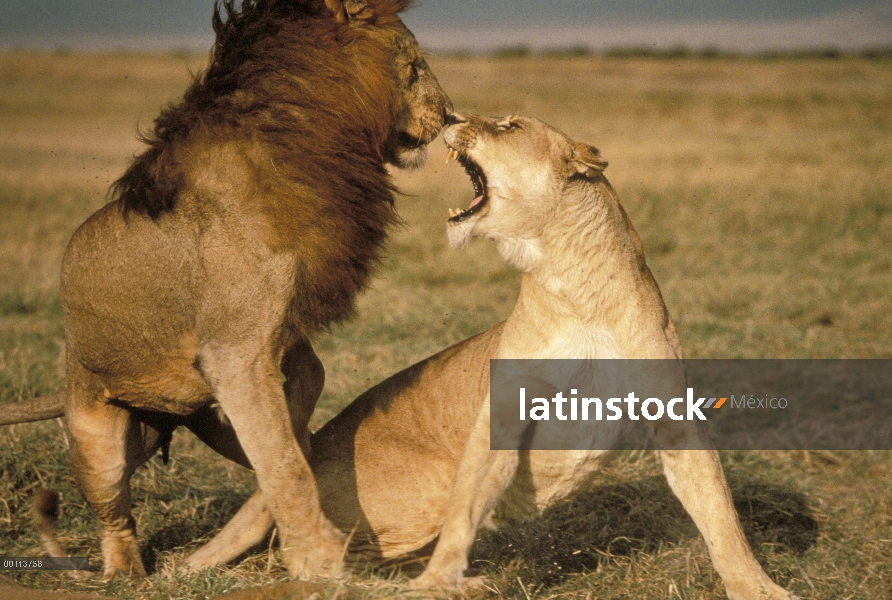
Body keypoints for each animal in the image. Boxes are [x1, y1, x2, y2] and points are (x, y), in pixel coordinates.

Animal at [16, 0, 452, 580]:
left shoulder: (277, 337)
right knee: (115, 513)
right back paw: (126, 570)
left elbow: (300, 414)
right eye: (415, 66)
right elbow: (286, 465)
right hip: (96, 436)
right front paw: (319, 561)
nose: (449, 115)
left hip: (195, 420)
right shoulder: (235, 352)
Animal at [174, 115, 796, 596]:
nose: (452, 117)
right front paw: (439, 583)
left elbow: (720, 515)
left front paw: (757, 587)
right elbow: (465, 512)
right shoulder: (498, 420)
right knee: (328, 562)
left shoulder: (674, 419)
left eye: (509, 126)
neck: (575, 288)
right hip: (419, 482)